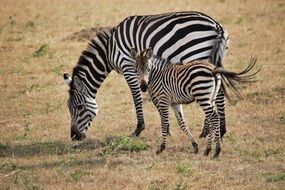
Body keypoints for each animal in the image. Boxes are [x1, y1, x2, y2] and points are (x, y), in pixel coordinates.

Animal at [63, 11, 227, 140]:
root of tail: (216, 24)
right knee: (217, 91)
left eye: (79, 107)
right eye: (69, 108)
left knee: (213, 93)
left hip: (196, 55)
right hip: (214, 58)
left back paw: (212, 131)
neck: (109, 49)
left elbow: (137, 97)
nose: (74, 137)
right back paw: (217, 130)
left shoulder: (128, 66)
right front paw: (167, 128)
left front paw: (139, 129)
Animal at [130, 47, 258, 157]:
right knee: (211, 118)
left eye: (148, 69)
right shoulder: (175, 103)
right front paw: (195, 145)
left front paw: (161, 148)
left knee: (214, 117)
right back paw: (207, 150)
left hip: (202, 95)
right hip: (211, 97)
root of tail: (213, 69)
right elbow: (182, 123)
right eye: (136, 70)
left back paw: (216, 151)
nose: (143, 87)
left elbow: (164, 123)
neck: (158, 76)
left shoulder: (164, 99)